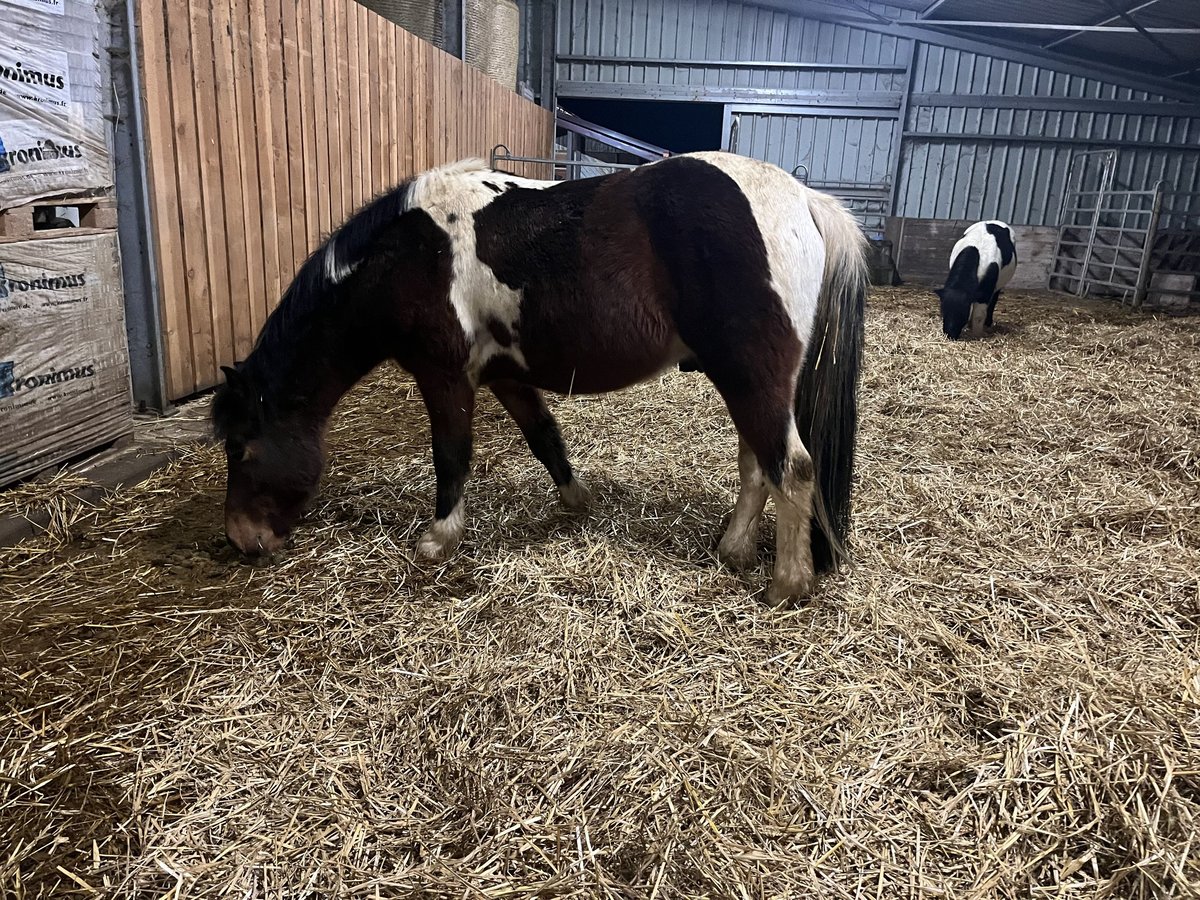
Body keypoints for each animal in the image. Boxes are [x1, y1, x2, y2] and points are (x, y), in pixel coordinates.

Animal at [208, 153, 864, 607]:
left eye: (241, 448)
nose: (242, 539)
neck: (408, 256)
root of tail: (804, 199)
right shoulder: (505, 376)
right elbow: (544, 437)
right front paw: (576, 502)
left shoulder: (446, 376)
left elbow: (452, 456)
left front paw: (438, 539)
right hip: (749, 382)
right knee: (759, 465)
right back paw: (734, 551)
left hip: (752, 377)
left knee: (791, 469)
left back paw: (787, 585)